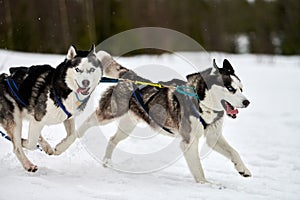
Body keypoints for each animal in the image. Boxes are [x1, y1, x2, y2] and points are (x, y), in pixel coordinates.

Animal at [75, 52, 251, 183]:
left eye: (241, 88)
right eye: (230, 88)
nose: (247, 102)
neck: (201, 102)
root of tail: (129, 76)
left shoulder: (213, 136)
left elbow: (234, 152)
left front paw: (243, 169)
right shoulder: (189, 142)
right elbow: (199, 170)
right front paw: (206, 185)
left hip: (127, 125)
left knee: (112, 140)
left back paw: (107, 163)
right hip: (110, 113)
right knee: (89, 121)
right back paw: (74, 136)